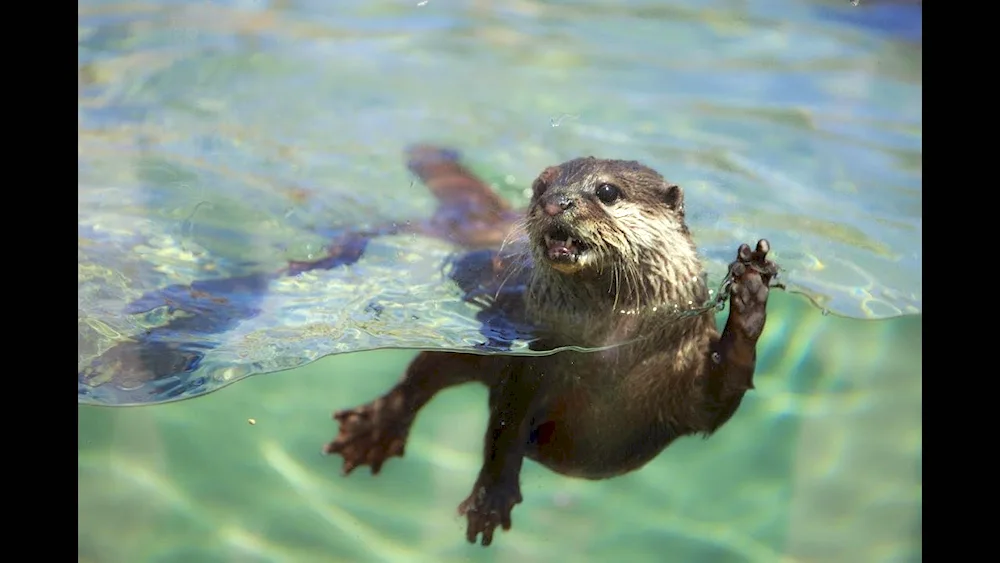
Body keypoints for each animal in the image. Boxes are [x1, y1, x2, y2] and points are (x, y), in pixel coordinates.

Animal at [324, 145, 776, 548]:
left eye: (607, 191)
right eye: (541, 187)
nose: (556, 203)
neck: (611, 346)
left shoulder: (686, 374)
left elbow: (720, 398)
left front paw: (750, 291)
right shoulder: (531, 360)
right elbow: (505, 424)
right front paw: (491, 497)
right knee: (427, 370)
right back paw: (373, 429)